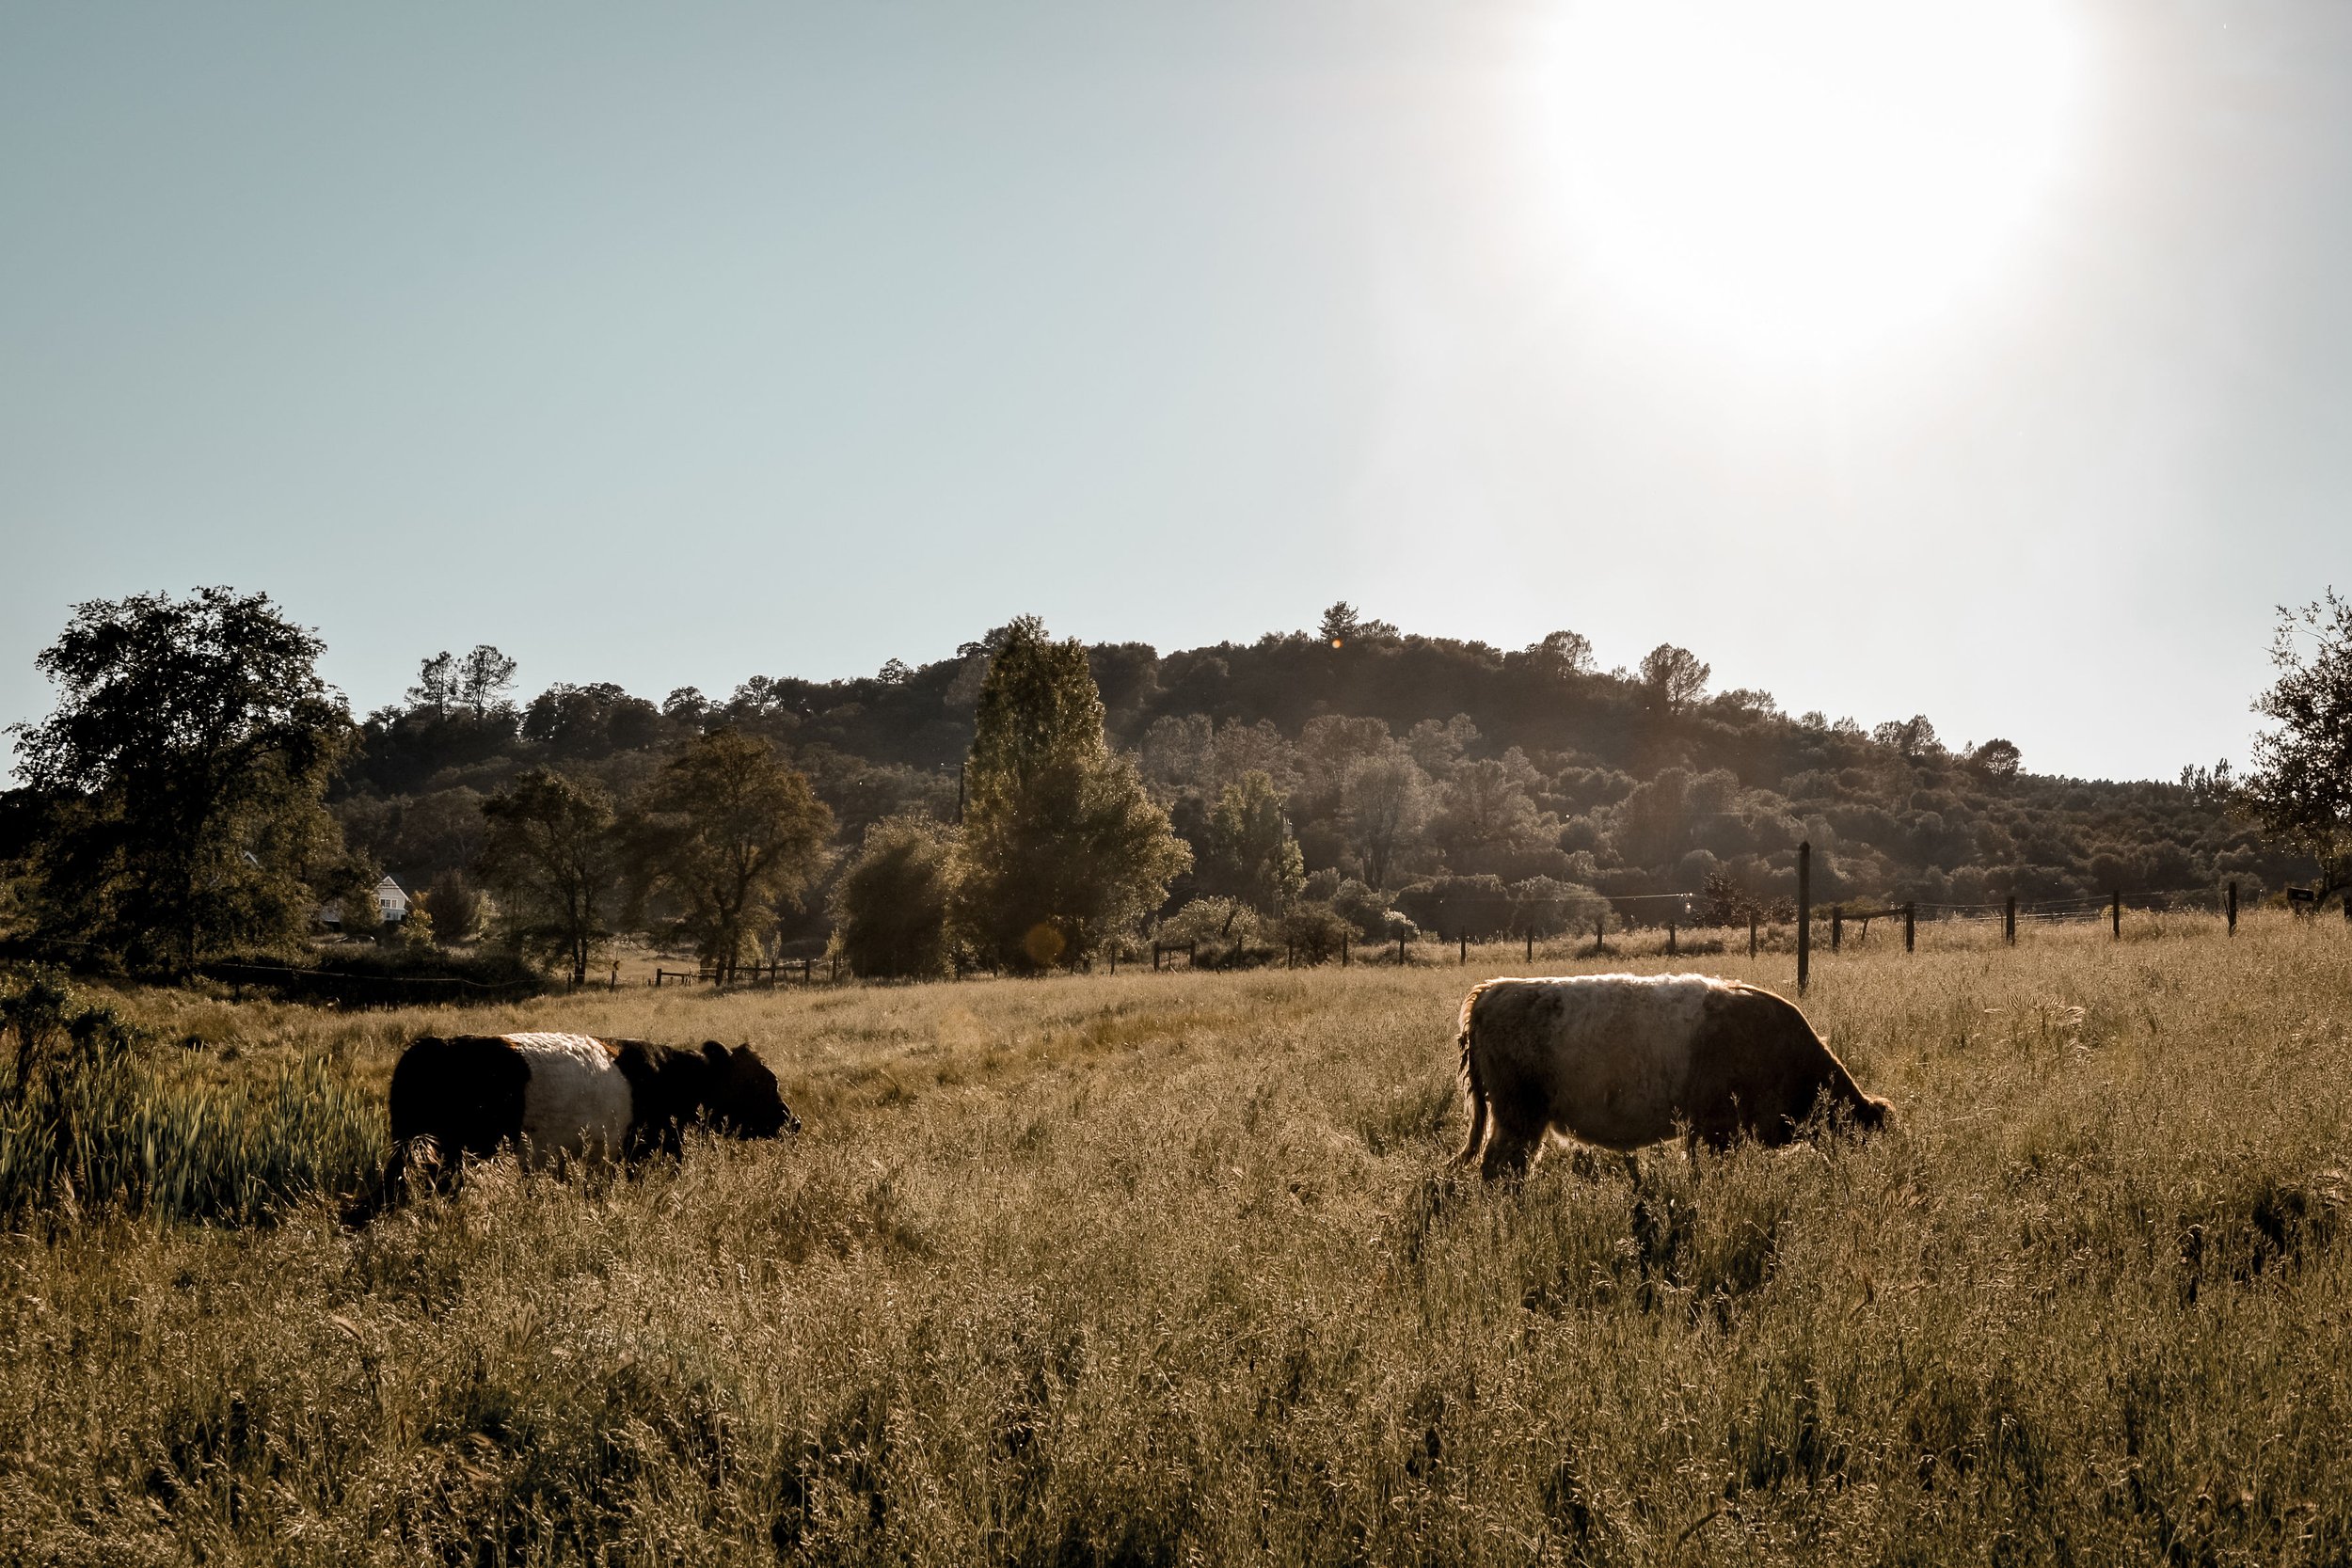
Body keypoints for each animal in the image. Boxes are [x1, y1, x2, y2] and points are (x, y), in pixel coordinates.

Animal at [361, 1032, 798, 1215]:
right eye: (761, 1082)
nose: (792, 1122)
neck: (676, 1080)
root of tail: (432, 1046)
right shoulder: (647, 1158)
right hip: (451, 1158)